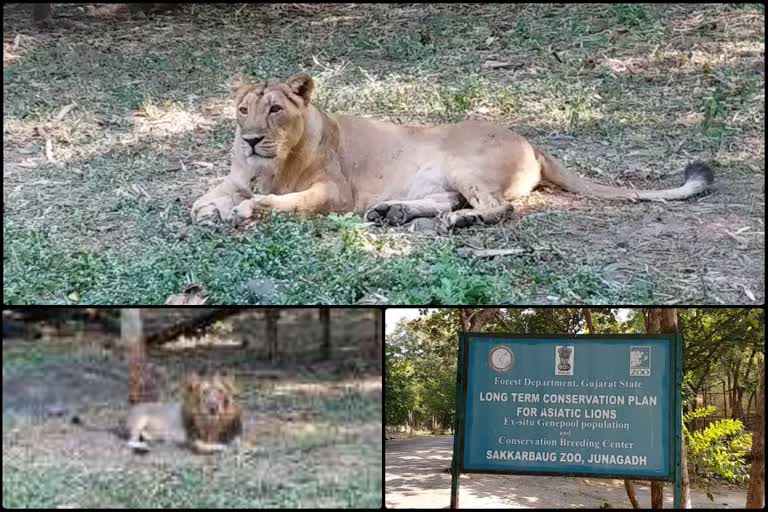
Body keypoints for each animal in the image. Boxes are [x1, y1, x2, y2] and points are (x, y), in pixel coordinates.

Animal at [190, 72, 712, 228]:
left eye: (275, 110)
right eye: (243, 110)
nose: (250, 139)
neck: (273, 164)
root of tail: (532, 142)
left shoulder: (335, 193)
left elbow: (289, 201)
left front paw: (248, 209)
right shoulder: (236, 177)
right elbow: (207, 195)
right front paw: (211, 210)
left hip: (464, 164)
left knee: (497, 208)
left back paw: (456, 222)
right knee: (448, 200)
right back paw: (394, 212)